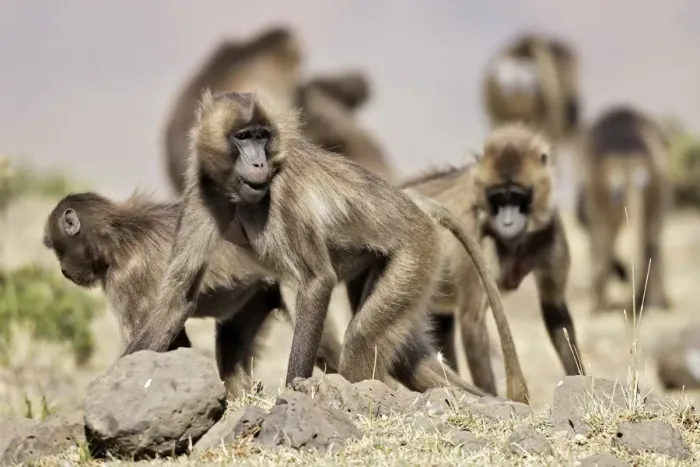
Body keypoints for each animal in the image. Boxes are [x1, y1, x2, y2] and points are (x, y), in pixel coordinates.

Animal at [42, 191, 342, 397]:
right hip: (256, 292)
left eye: (58, 248)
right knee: (231, 341)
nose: (64, 271)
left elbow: (170, 314)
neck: (118, 235)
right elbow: (176, 339)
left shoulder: (127, 278)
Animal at [122, 90, 529, 402]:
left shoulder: (284, 194)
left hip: (416, 251)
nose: (258, 163)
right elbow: (178, 296)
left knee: (363, 338)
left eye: (262, 136)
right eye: (242, 137)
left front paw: (293, 392)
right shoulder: (202, 189)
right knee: (408, 359)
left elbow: (316, 281)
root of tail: (417, 207)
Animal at [399, 123, 583, 397]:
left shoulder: (551, 230)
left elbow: (556, 310)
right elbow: (472, 321)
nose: (507, 222)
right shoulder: (475, 232)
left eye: (516, 197)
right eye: (498, 198)